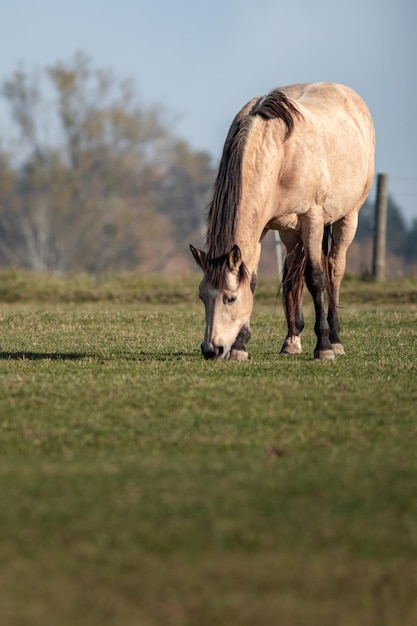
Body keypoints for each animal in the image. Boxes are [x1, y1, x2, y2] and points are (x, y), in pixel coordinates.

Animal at [190, 80, 376, 358]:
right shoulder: (263, 228)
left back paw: (335, 339)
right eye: (202, 296)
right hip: (290, 233)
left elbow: (316, 278)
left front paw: (323, 347)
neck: (278, 153)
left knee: (334, 269)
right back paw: (292, 339)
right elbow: (253, 281)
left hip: (348, 217)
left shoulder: (312, 219)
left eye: (231, 298)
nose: (212, 349)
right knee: (292, 275)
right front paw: (240, 346)